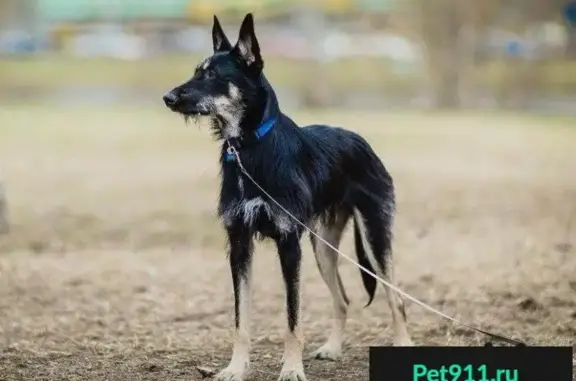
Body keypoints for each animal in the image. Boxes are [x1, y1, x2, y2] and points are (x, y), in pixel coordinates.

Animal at [164, 12, 412, 380]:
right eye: (197, 71)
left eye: (212, 75)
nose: (167, 97)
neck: (250, 148)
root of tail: (360, 140)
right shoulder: (239, 244)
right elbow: (241, 319)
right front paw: (236, 367)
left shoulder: (289, 244)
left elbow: (292, 318)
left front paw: (292, 368)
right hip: (323, 246)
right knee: (342, 300)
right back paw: (332, 348)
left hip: (374, 236)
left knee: (396, 298)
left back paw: (402, 343)